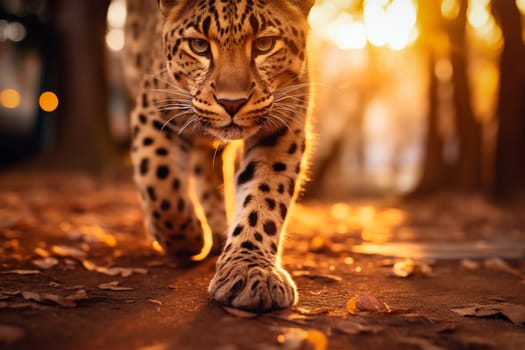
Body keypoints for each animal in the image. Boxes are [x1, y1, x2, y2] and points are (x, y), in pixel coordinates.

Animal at [124, 0, 316, 312]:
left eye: (264, 44)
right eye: (199, 46)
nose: (232, 103)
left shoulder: (283, 123)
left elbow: (265, 195)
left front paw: (251, 270)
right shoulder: (153, 111)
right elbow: (161, 185)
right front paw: (187, 240)